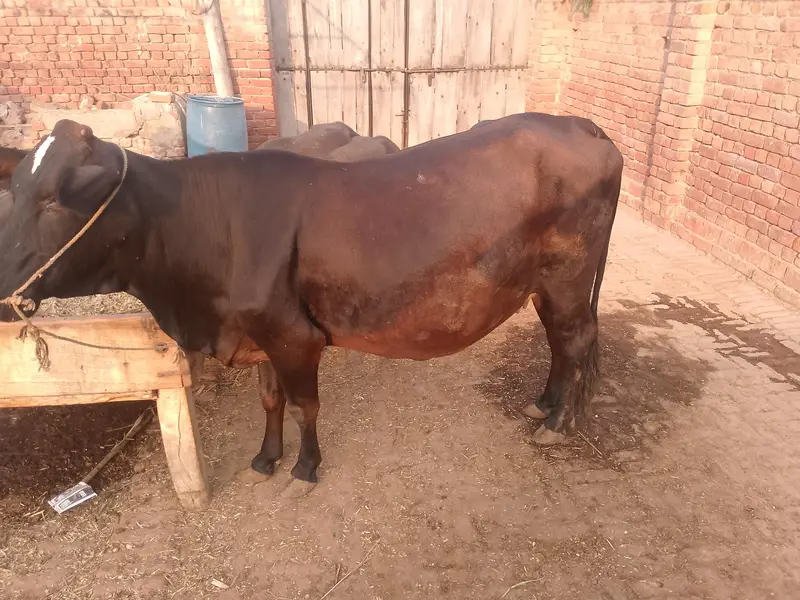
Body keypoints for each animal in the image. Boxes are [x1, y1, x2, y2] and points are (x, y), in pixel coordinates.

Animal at [0, 113, 623, 497]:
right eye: (17, 192)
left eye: (54, 200)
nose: (5, 286)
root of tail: (579, 125)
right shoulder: (258, 334)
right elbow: (270, 400)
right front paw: (264, 459)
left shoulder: (293, 336)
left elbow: (304, 406)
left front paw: (304, 467)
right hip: (545, 285)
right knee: (559, 342)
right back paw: (543, 405)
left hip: (570, 277)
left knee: (576, 340)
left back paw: (558, 425)